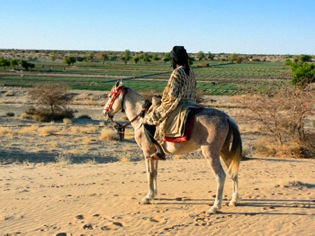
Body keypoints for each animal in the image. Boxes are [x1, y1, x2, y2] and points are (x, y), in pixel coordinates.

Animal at [102, 79, 243, 214]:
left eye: (110, 95)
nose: (105, 112)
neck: (142, 118)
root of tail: (226, 118)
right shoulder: (154, 154)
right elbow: (155, 172)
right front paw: (153, 195)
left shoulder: (147, 152)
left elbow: (149, 173)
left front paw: (147, 197)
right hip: (224, 152)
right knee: (232, 172)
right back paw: (233, 200)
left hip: (210, 153)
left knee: (221, 176)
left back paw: (215, 207)